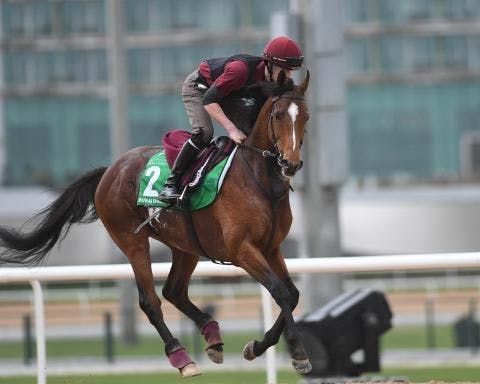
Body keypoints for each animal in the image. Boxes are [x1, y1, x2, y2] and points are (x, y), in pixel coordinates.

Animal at [0, 69, 312, 376]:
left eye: (306, 116)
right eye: (278, 115)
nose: (290, 164)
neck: (259, 181)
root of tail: (110, 170)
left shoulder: (271, 248)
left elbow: (293, 294)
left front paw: (259, 347)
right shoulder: (242, 249)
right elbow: (281, 293)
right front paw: (297, 353)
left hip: (185, 246)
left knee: (174, 291)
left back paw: (212, 335)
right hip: (132, 240)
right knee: (150, 301)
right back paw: (181, 357)